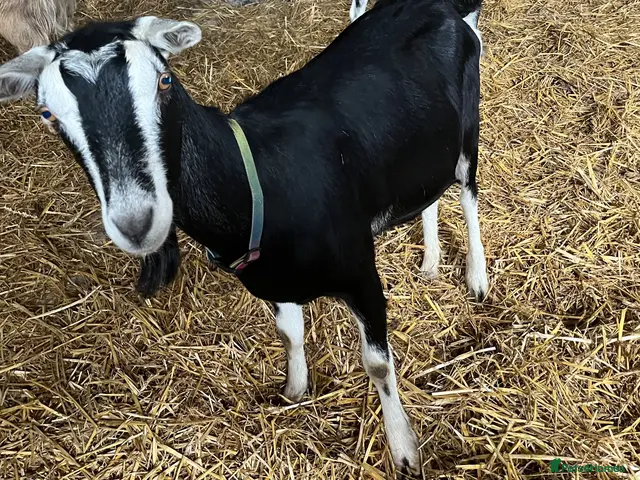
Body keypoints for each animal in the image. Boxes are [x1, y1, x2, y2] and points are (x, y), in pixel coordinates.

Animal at [0, 0, 488, 474]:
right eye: (48, 114)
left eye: (164, 80)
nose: (137, 222)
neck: (258, 180)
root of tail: (442, 7)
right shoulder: (273, 281)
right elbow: (289, 334)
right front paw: (294, 391)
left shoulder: (360, 274)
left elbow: (378, 365)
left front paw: (404, 449)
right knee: (429, 196)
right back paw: (430, 262)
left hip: (467, 132)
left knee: (467, 195)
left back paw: (477, 279)